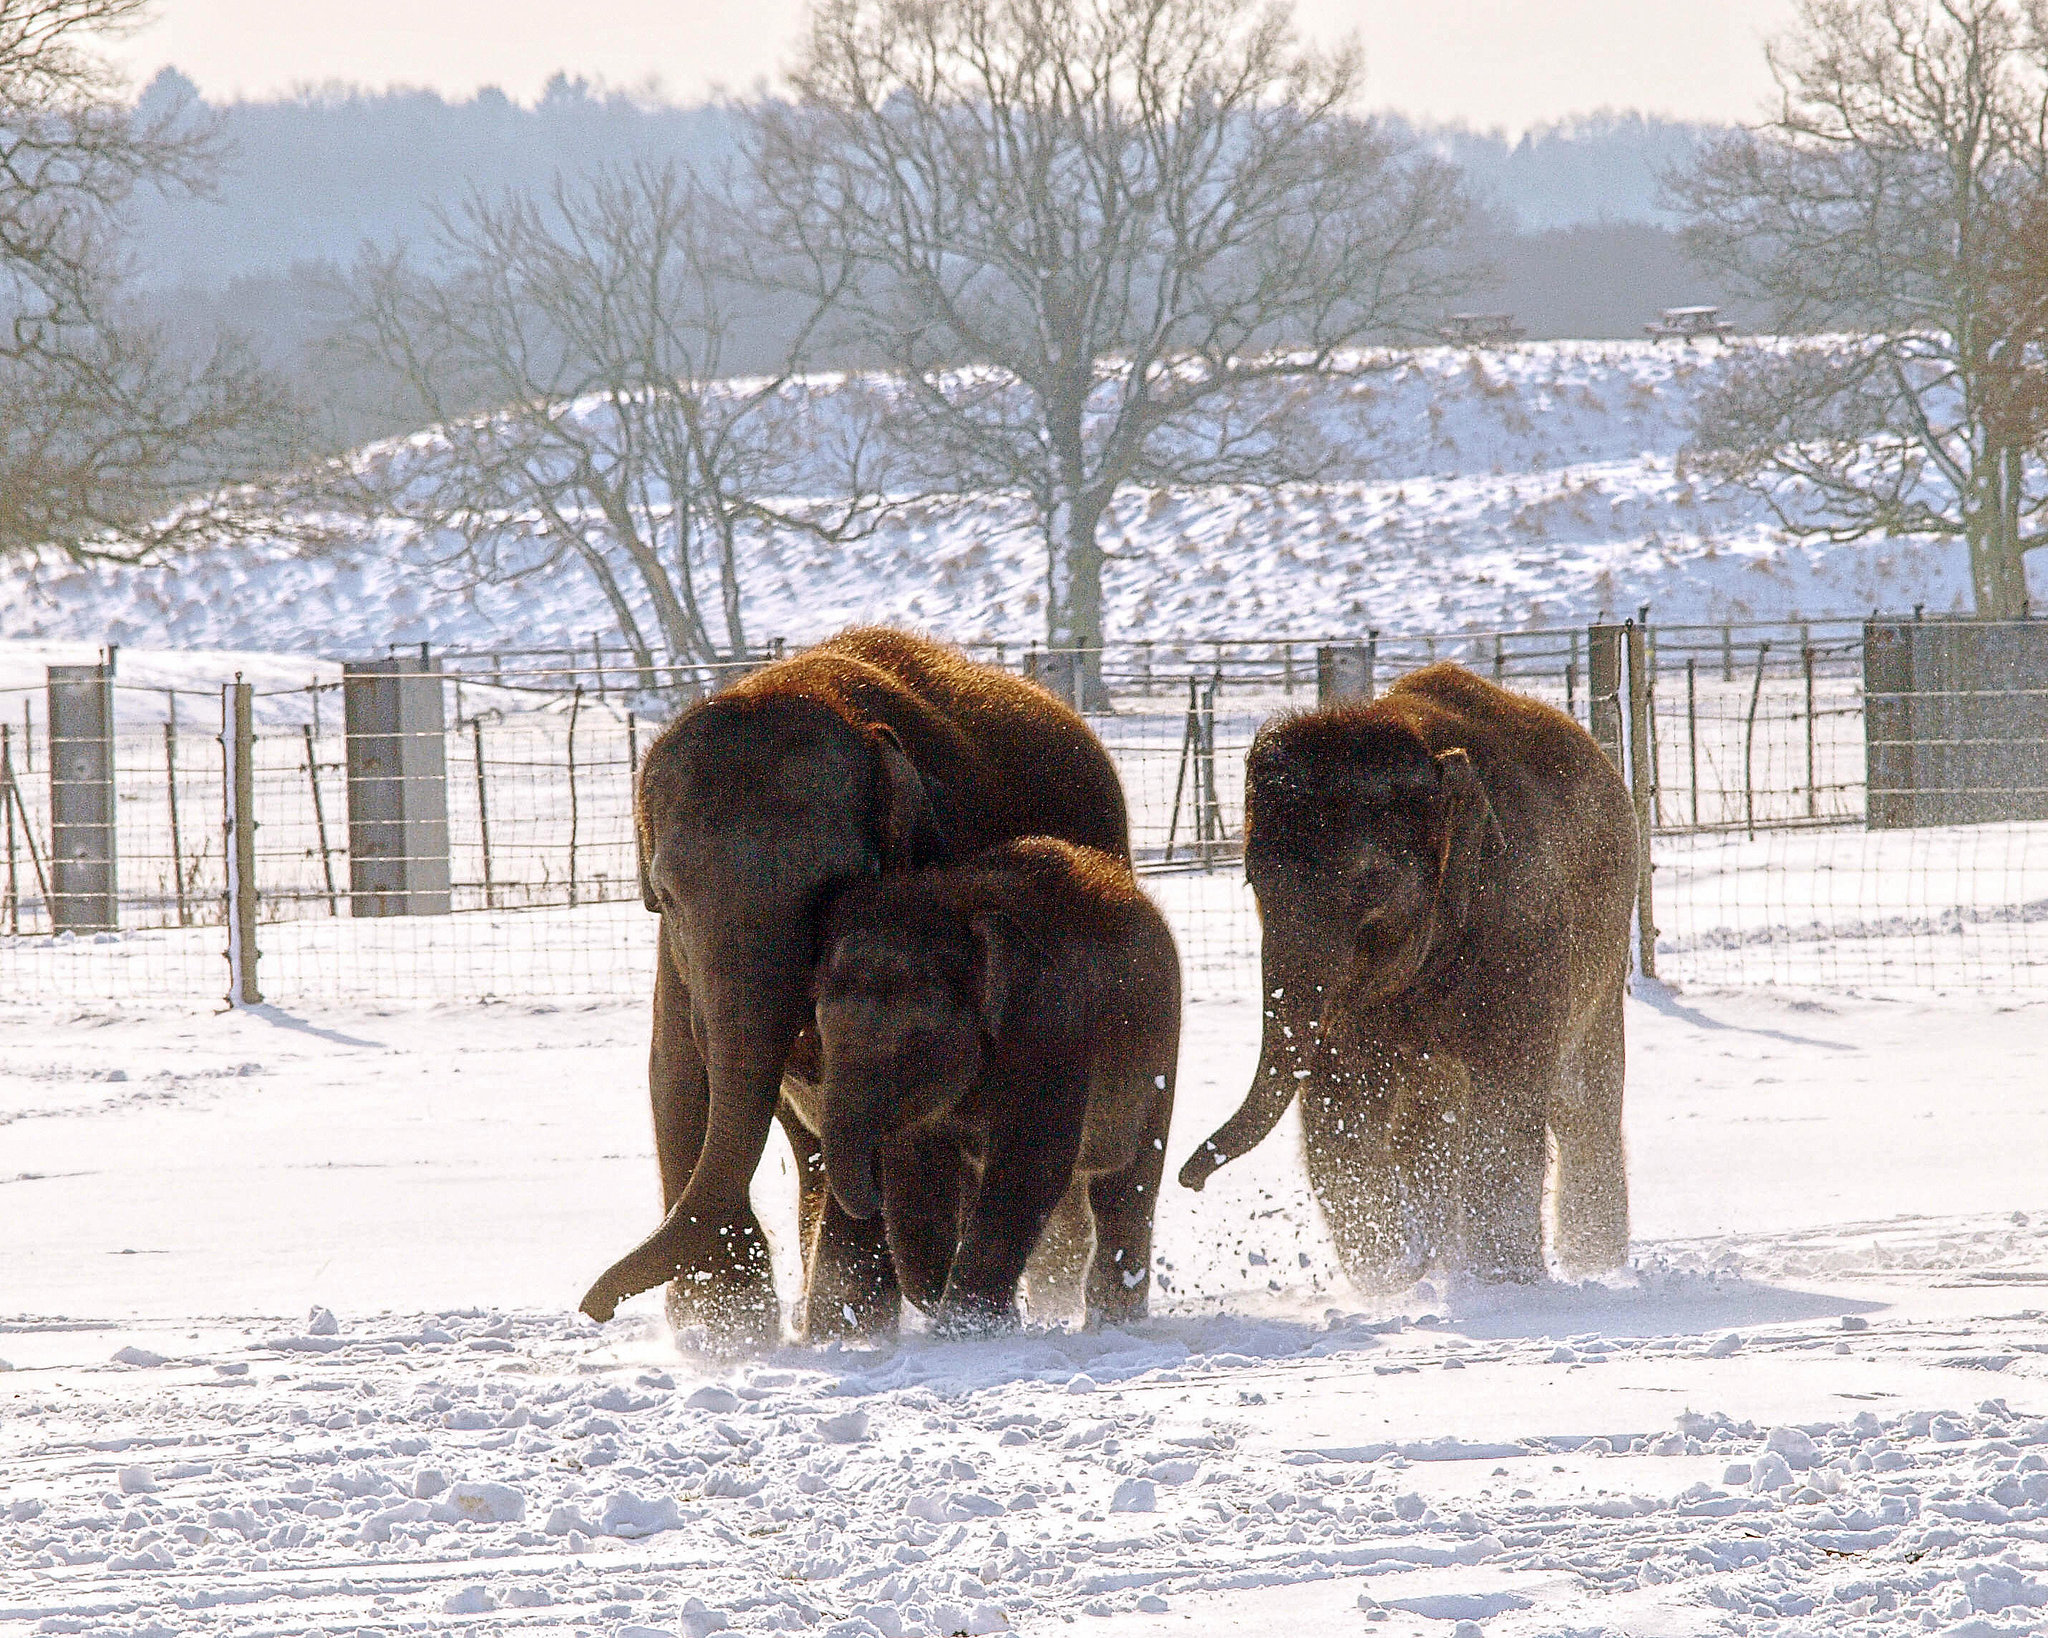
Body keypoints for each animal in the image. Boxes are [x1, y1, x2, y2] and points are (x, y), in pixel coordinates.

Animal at [577, 626, 1130, 1343]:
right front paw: (720, 1329)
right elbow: (674, 1075)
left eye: (835, 888)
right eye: (665, 896)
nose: (595, 1308)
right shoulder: (672, 955)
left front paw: (836, 1329)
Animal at [802, 839, 1187, 1334]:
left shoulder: (1049, 1028)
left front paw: (966, 1326)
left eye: (913, 1043)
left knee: (1123, 1188)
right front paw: (978, 1316)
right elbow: (918, 1172)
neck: (956, 905)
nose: (868, 1203)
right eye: (821, 1031)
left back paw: (1113, 1321)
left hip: (1160, 1054)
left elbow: (1032, 1162)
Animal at [1187, 663, 1630, 1294]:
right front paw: (1390, 1277)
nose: (1190, 1180)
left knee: (1581, 1104)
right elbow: (1340, 1105)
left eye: (1370, 883)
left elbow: (1504, 1104)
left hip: (1608, 951)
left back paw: (1591, 1264)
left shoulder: (1522, 921)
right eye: (1251, 879)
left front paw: (1504, 1285)